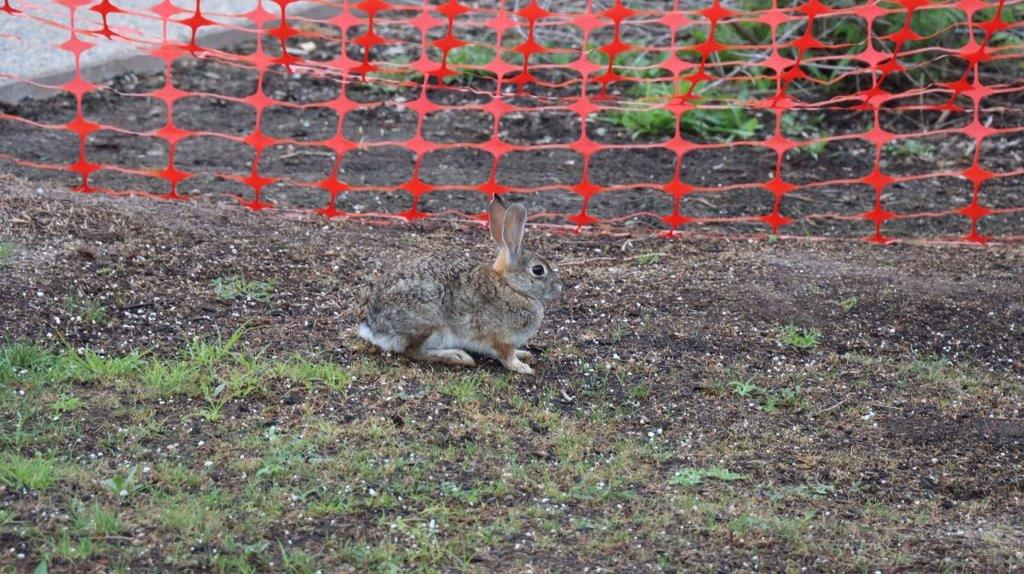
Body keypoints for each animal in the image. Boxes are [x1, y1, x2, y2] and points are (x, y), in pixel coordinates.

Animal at [358, 195, 569, 376]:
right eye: (538, 270)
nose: (559, 288)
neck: (511, 286)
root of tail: (375, 328)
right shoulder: (499, 337)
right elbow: (507, 356)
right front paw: (523, 367)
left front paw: (524, 354)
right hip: (429, 322)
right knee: (413, 352)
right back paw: (458, 356)